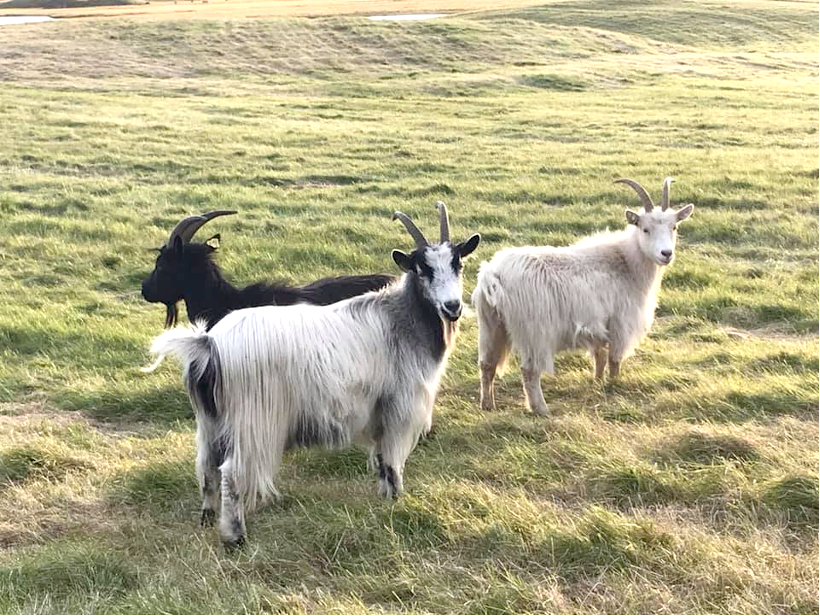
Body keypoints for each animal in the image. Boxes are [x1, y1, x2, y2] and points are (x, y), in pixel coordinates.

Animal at [472, 177, 694, 416]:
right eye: (645, 229)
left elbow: (600, 356)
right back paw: (541, 409)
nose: (666, 254)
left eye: (674, 227)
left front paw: (597, 381)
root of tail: (493, 275)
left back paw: (487, 405)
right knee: (529, 370)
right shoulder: (621, 323)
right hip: (534, 332)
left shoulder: (599, 324)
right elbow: (614, 359)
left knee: (486, 365)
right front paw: (613, 385)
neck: (625, 263)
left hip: (491, 326)